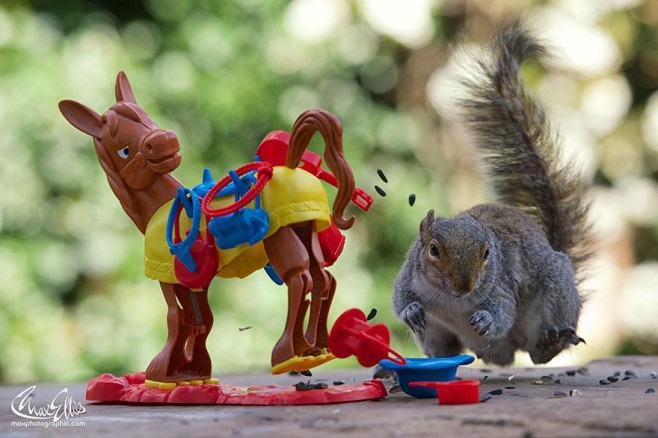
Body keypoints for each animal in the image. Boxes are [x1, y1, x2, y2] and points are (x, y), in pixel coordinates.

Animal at [393, 21, 595, 366]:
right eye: (432, 250)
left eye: (487, 253)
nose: (464, 285)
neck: (451, 299)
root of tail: (499, 355)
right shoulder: (408, 274)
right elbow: (399, 298)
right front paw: (411, 310)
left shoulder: (501, 286)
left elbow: (502, 312)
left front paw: (485, 319)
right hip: (434, 331)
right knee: (444, 350)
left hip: (554, 295)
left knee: (538, 353)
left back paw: (551, 343)